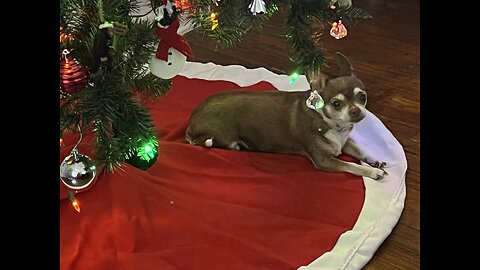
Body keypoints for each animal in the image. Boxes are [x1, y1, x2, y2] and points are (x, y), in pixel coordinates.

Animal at [186, 52, 388, 179]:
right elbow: (351, 166)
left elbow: (360, 151)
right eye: (336, 104)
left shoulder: (345, 143)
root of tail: (191, 122)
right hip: (225, 138)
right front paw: (372, 172)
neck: (332, 124)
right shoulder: (324, 161)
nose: (356, 111)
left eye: (362, 97)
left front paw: (374, 161)